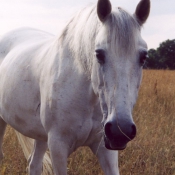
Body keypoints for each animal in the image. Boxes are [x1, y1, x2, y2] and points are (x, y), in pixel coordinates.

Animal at [0, 0, 150, 174]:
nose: (120, 131)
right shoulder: (58, 147)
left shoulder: (105, 148)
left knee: (34, 164)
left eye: (143, 56)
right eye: (99, 54)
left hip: (41, 135)